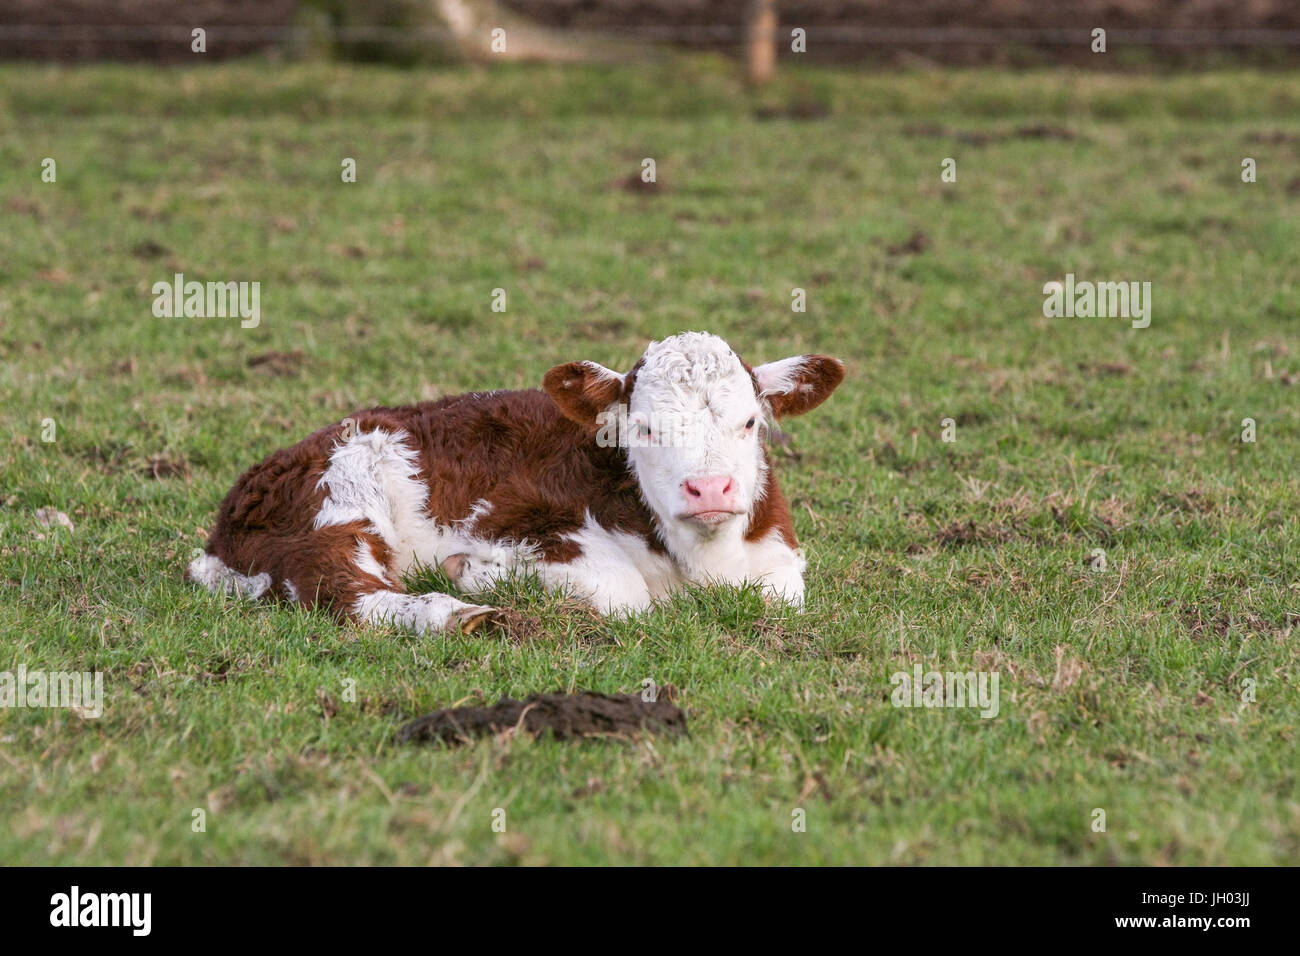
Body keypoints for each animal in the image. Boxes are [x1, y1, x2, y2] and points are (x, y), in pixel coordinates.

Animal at [188, 332, 847, 632]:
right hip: (342, 490)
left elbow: (781, 595)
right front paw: (477, 570)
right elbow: (622, 592)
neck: (696, 562)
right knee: (340, 584)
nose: (710, 490)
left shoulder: (778, 553)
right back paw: (460, 613)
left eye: (749, 422)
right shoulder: (513, 516)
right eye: (647, 428)